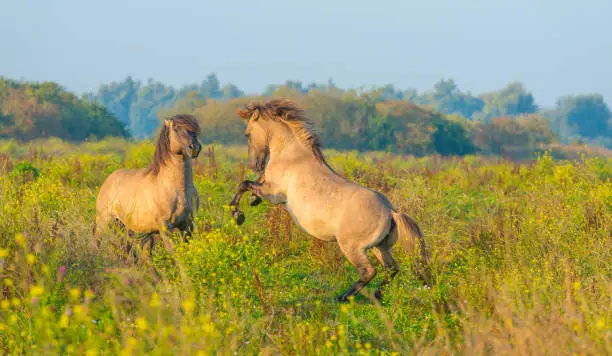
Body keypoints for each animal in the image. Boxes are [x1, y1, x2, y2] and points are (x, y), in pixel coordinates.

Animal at [94, 114, 202, 258]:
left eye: (194, 130)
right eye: (175, 128)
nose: (194, 147)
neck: (179, 190)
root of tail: (108, 181)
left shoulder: (188, 225)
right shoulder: (165, 227)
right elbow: (173, 252)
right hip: (105, 222)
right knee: (97, 242)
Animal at [230, 98, 430, 302]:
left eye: (247, 134)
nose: (255, 164)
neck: (291, 155)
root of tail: (391, 212)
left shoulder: (275, 193)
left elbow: (244, 184)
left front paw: (237, 214)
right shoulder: (269, 185)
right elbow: (255, 182)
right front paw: (253, 200)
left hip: (352, 247)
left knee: (369, 271)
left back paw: (344, 297)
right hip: (379, 247)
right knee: (391, 268)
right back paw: (377, 296)